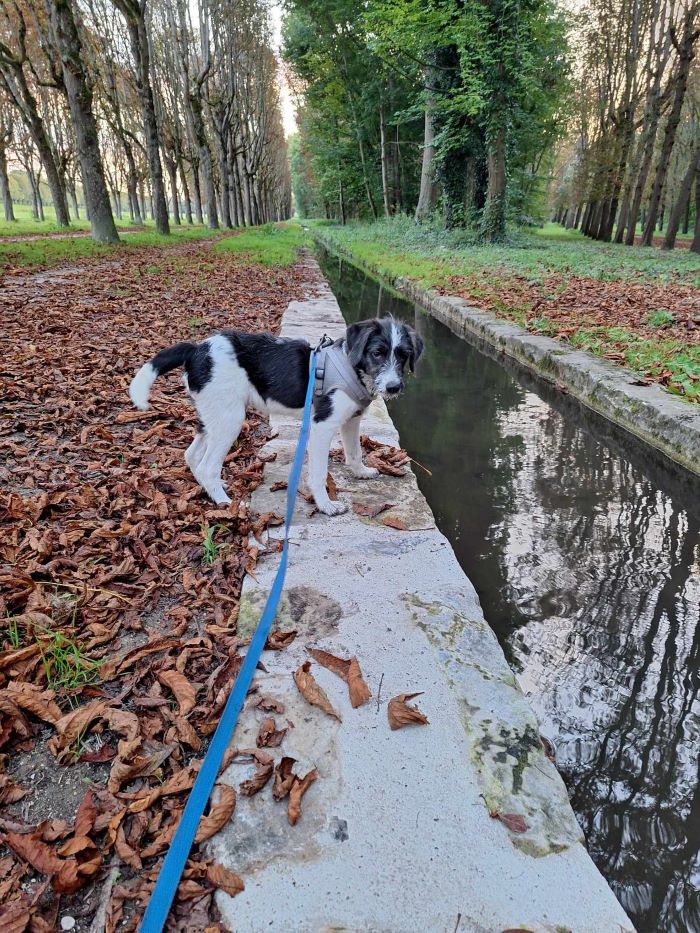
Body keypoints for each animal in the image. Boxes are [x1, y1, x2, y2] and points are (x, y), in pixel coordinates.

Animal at [129, 316, 424, 512]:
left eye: (403, 355)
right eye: (377, 353)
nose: (393, 387)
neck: (353, 367)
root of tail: (197, 349)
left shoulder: (351, 421)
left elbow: (355, 452)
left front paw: (361, 472)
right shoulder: (322, 426)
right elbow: (319, 473)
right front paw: (326, 505)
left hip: (213, 415)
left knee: (191, 455)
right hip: (230, 420)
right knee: (207, 465)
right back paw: (224, 502)